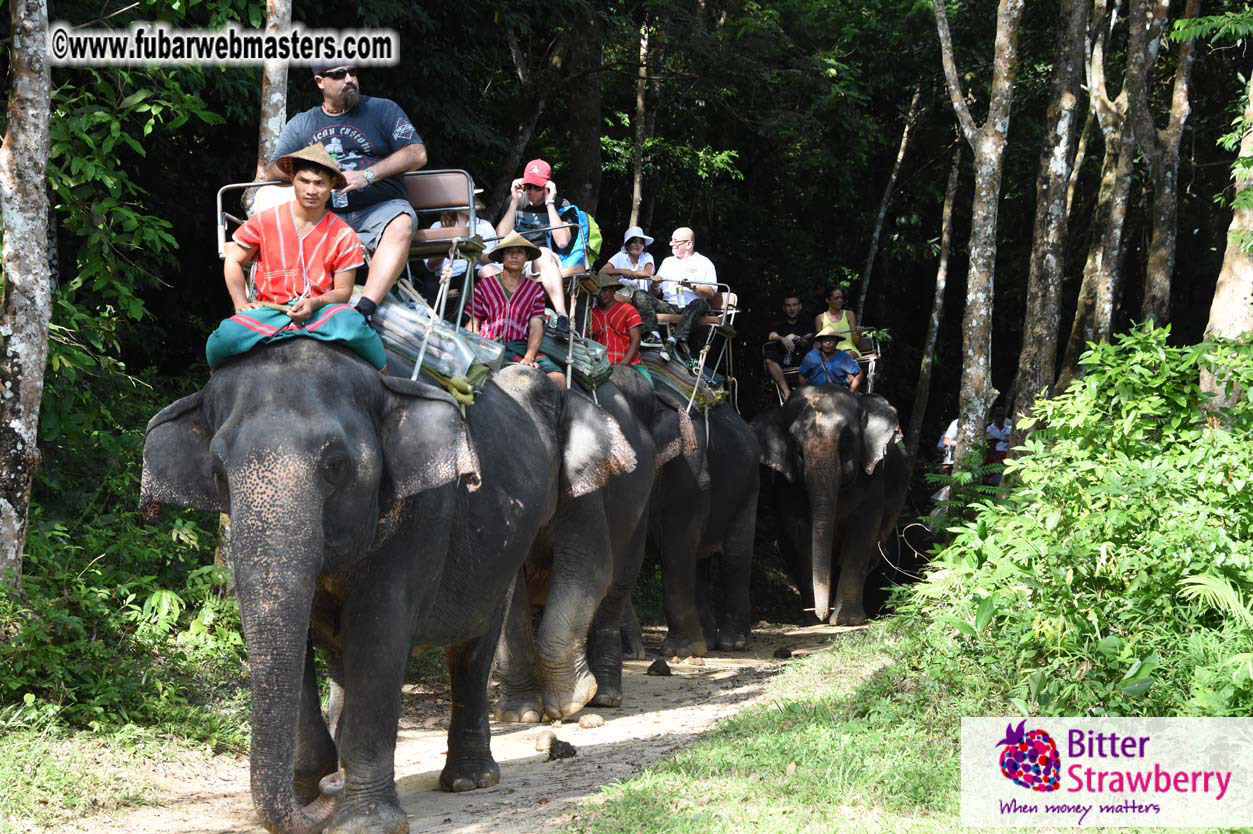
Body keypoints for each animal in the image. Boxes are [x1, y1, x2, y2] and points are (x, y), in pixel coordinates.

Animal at [140, 339, 633, 834]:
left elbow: (379, 635)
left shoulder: (422, 511)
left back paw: (470, 779)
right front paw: (318, 793)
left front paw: (364, 821)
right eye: (218, 473)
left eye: (336, 465)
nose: (331, 787)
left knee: (472, 649)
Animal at [495, 365, 700, 718]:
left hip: (639, 505)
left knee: (614, 589)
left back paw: (604, 696)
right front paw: (518, 714)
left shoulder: (585, 490)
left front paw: (570, 702)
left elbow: (587, 570)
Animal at [650, 400, 760, 657]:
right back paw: (708, 641)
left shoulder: (691, 465)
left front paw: (678, 651)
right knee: (698, 561)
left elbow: (676, 542)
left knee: (735, 556)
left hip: (748, 486)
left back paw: (733, 643)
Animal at [751, 386, 909, 626]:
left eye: (846, 439)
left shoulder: (873, 480)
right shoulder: (788, 486)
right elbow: (800, 533)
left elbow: (862, 531)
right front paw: (815, 621)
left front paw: (846, 620)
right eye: (795, 445)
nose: (822, 614)